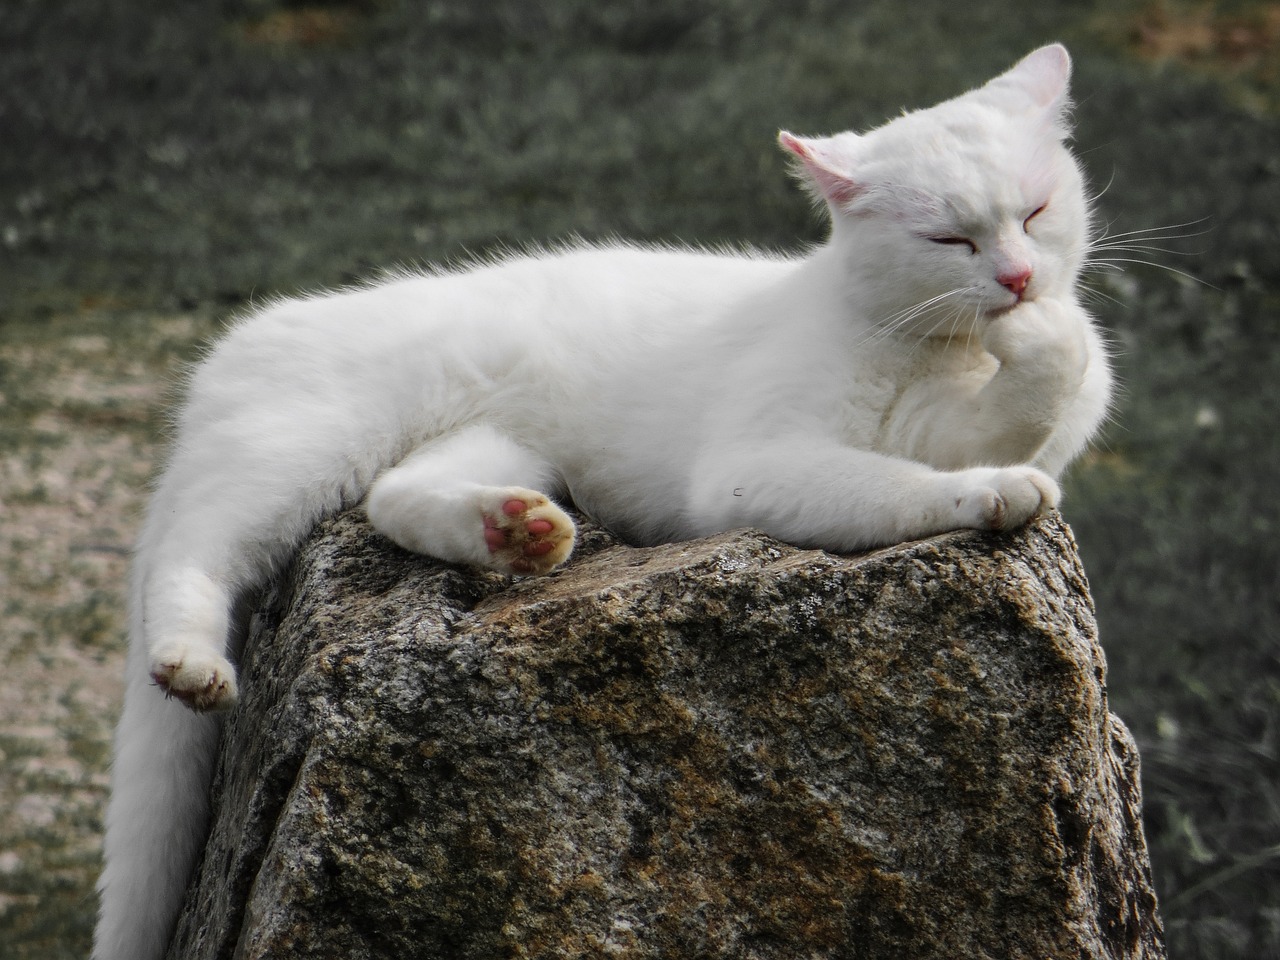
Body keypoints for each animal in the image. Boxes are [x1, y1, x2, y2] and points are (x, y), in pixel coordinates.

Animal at [92, 43, 1111, 960]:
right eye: (950, 239)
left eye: (1035, 212)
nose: (1017, 278)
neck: (936, 348)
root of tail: (232, 349)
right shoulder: (754, 466)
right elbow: (904, 483)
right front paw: (996, 482)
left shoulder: (947, 421)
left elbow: (1034, 391)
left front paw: (1045, 340)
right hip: (296, 454)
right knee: (194, 554)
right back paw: (193, 662)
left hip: (496, 447)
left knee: (395, 496)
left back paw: (514, 534)